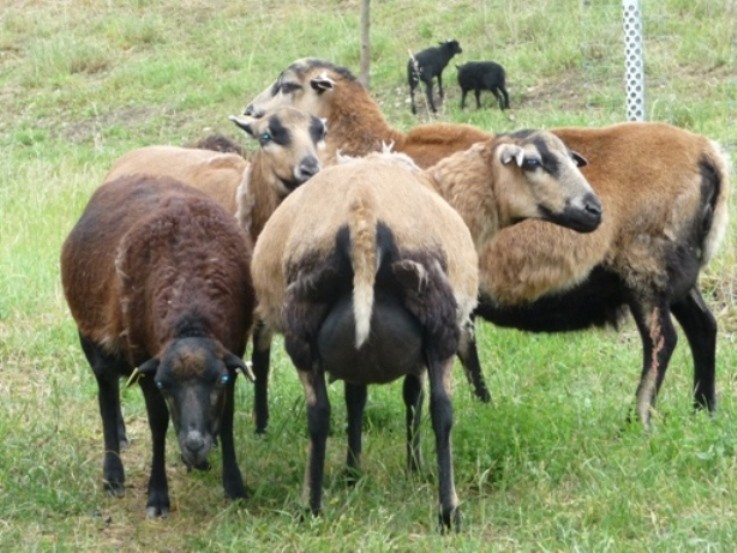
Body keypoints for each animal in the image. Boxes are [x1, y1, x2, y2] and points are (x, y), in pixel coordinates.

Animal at [60, 175, 256, 516]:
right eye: (164, 384)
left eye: (219, 380)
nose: (194, 444)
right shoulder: (146, 363)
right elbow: (158, 423)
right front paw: (157, 495)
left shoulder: (235, 352)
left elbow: (227, 417)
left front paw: (233, 485)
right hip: (93, 341)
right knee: (106, 398)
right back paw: (113, 473)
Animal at [249, 132, 604, 528]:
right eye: (533, 163)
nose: (595, 211)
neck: (447, 190)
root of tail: (362, 216)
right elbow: (411, 396)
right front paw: (413, 467)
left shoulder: (357, 355)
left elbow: (356, 399)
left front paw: (352, 472)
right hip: (439, 325)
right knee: (442, 411)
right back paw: (449, 511)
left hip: (303, 329)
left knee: (318, 414)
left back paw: (310, 505)